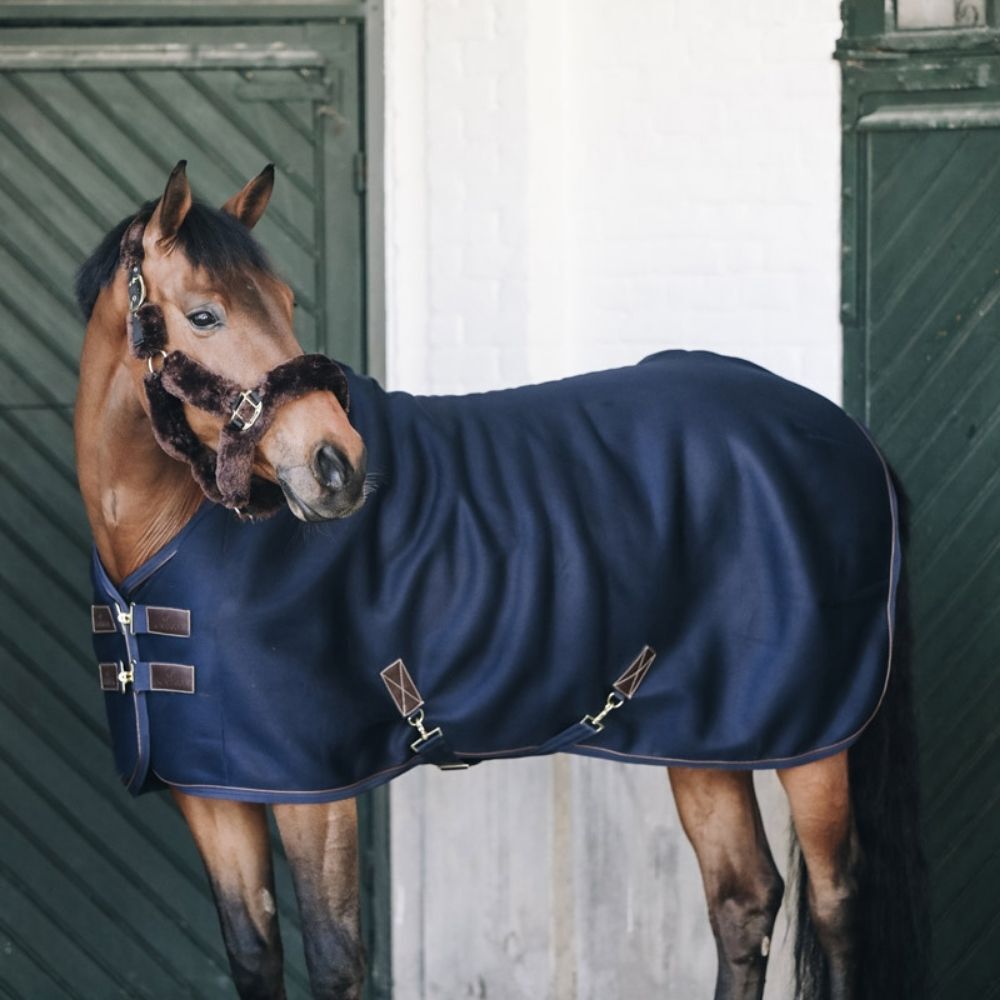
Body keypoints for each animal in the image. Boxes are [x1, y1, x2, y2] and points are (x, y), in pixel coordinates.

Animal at [74, 161, 927, 1000]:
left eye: (284, 304)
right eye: (205, 315)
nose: (337, 467)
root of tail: (845, 432)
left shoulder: (315, 793)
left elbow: (333, 956)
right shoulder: (213, 790)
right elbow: (254, 955)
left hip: (813, 747)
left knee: (835, 905)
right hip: (704, 737)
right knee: (742, 899)